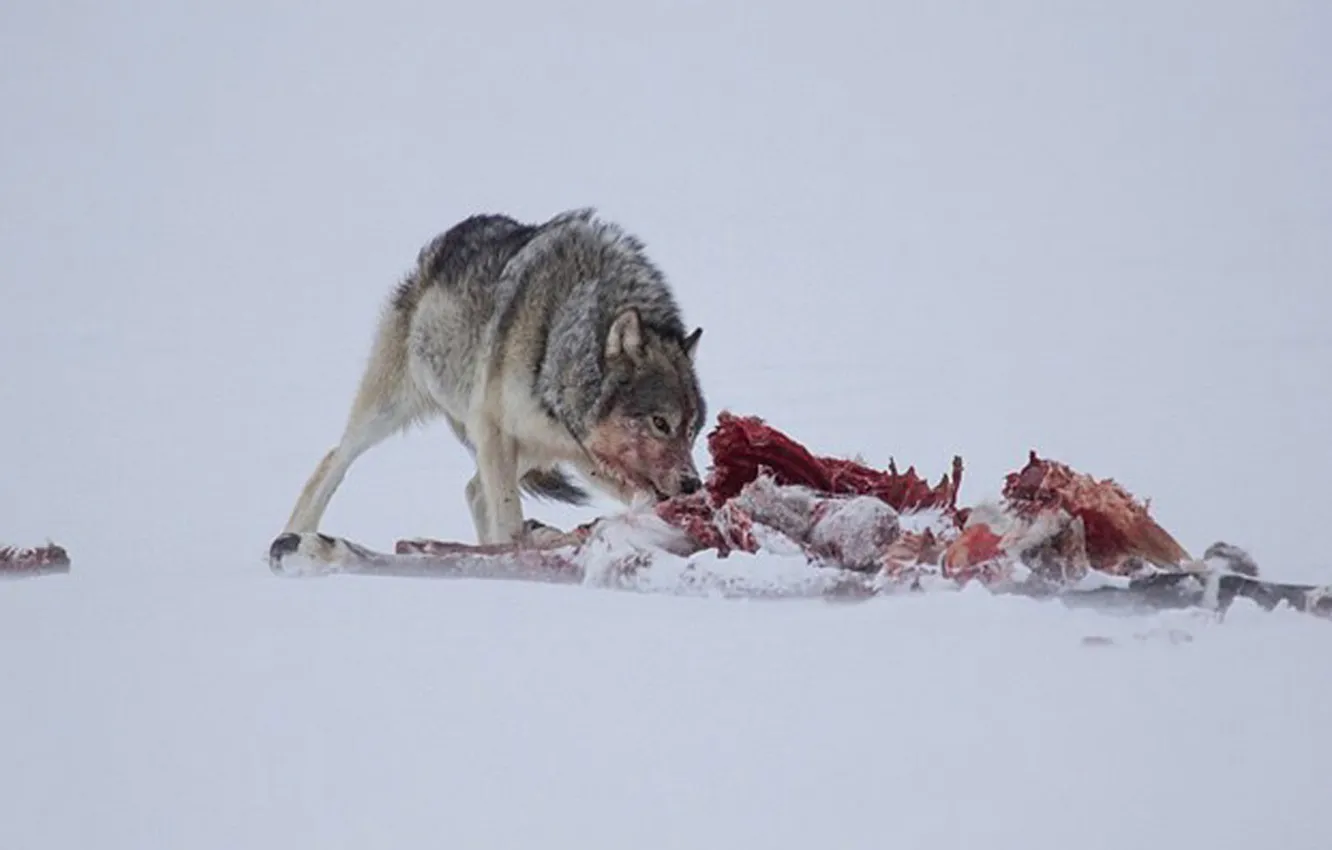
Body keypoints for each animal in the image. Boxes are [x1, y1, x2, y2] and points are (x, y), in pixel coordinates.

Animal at [279, 207, 707, 546]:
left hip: (537, 452)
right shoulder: (493, 429)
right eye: (660, 423)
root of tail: (439, 247)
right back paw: (292, 536)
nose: (693, 485)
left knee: (473, 490)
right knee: (334, 460)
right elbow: (507, 515)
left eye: (691, 431)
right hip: (390, 411)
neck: (555, 340)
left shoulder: (580, 453)